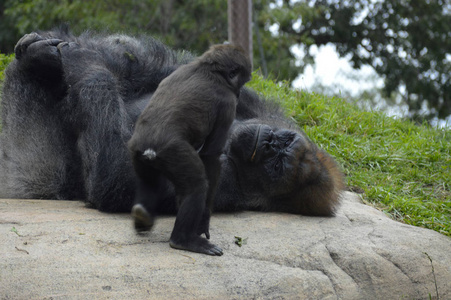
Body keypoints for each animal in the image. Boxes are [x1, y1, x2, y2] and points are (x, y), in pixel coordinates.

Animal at [0, 27, 344, 216]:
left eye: (276, 167)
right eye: (283, 142)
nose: (271, 144)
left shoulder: (226, 184)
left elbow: (115, 176)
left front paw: (81, 58)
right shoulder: (259, 105)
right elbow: (150, 67)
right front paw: (50, 53)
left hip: (35, 175)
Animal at [129, 44, 252, 255]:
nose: (240, 94)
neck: (209, 69)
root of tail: (148, 148)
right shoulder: (228, 104)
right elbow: (211, 156)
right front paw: (203, 222)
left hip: (139, 154)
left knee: (150, 181)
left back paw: (142, 215)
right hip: (173, 153)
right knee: (197, 186)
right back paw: (183, 240)